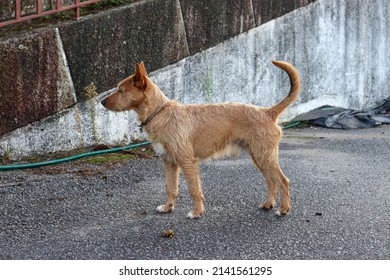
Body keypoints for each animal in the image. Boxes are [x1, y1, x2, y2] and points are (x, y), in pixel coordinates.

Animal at [100, 60, 298, 219]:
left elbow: (194, 189)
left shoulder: (187, 162)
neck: (160, 112)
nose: (102, 102)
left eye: (121, 90)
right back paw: (268, 203)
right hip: (260, 158)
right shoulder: (169, 162)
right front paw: (168, 207)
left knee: (283, 181)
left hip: (265, 157)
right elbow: (171, 188)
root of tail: (268, 112)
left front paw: (196, 212)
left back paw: (283, 209)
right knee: (271, 181)